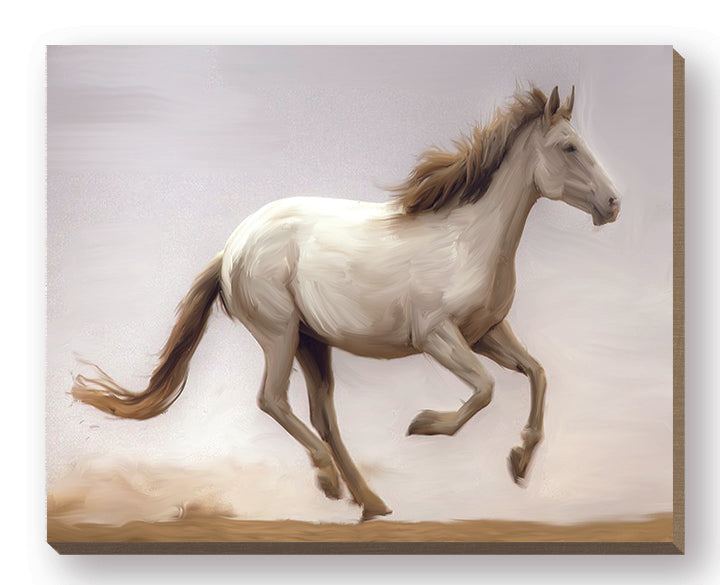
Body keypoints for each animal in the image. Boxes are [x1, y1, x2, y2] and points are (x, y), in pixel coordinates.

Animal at [72, 86, 620, 521]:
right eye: (569, 146)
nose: (613, 204)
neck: (468, 241)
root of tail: (232, 248)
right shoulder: (437, 336)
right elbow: (485, 389)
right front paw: (423, 425)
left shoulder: (486, 333)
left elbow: (537, 374)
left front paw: (520, 462)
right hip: (280, 334)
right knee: (273, 400)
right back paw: (331, 482)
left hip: (313, 343)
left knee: (323, 417)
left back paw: (370, 501)